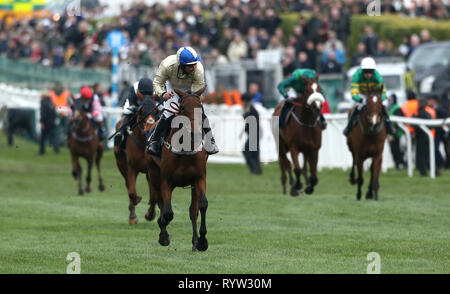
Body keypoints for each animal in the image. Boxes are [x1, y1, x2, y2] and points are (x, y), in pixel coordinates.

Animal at [147, 88, 210, 252]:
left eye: (200, 108)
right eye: (181, 108)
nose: (195, 133)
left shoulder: (199, 178)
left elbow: (201, 206)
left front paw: (202, 242)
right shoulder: (166, 181)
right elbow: (168, 212)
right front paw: (163, 236)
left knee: (193, 211)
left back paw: (195, 242)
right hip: (154, 175)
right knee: (161, 203)